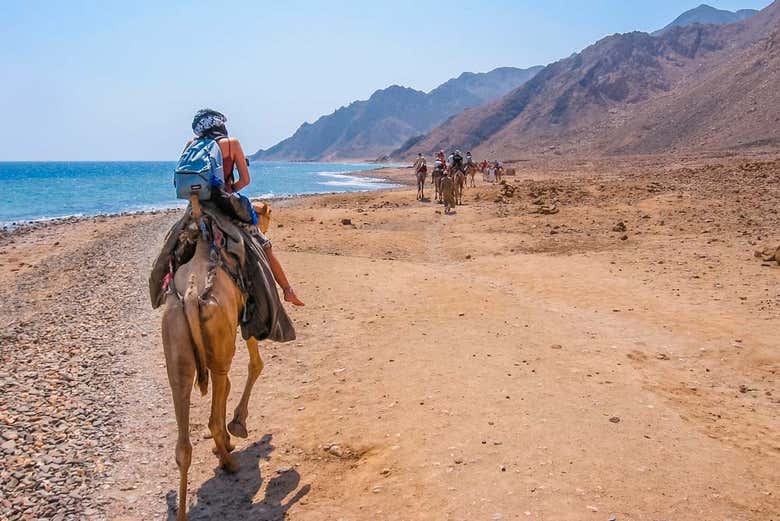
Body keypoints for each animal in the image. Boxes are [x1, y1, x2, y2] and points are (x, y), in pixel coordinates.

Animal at [163, 196, 272, 520]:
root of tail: (189, 294)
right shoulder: (245, 317)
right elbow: (255, 364)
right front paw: (236, 426)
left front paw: (225, 439)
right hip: (219, 334)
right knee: (217, 395)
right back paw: (229, 463)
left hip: (176, 340)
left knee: (183, 440)